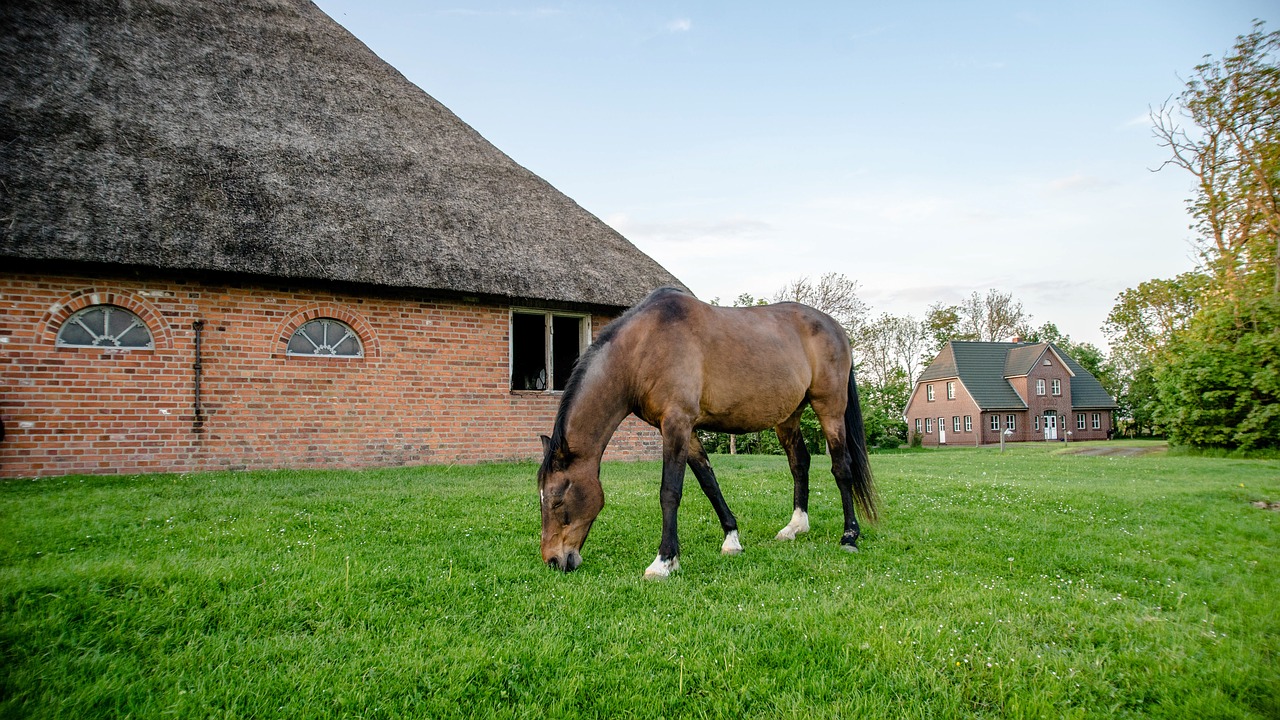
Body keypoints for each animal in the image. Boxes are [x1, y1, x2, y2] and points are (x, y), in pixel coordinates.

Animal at [535, 285, 875, 576]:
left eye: (557, 501)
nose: (553, 560)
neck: (643, 348)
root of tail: (836, 328)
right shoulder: (687, 430)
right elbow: (709, 484)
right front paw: (732, 540)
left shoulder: (677, 424)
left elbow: (670, 492)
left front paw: (664, 561)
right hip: (789, 416)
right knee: (799, 463)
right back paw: (795, 527)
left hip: (830, 408)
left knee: (842, 467)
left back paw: (849, 536)